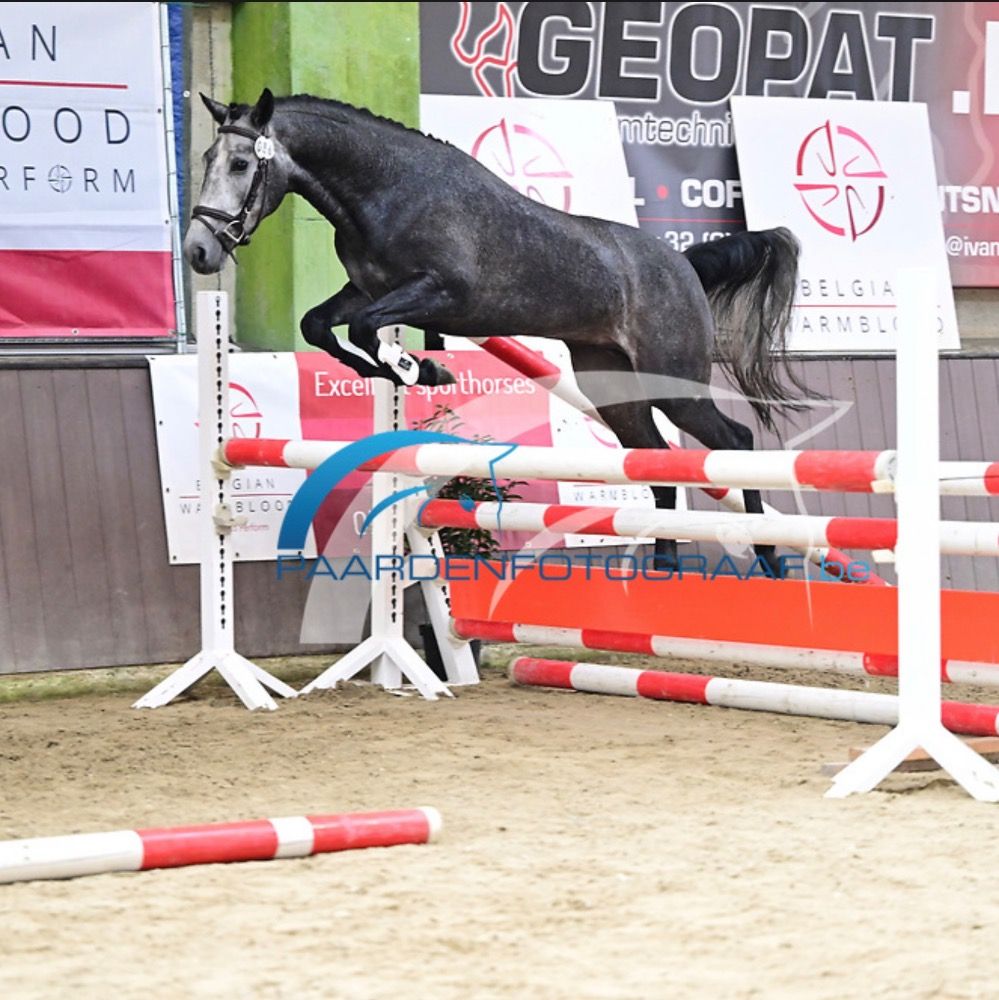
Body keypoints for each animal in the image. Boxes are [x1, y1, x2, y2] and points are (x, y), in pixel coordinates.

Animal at [184, 88, 809, 573]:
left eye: (241, 165)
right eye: (208, 157)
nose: (198, 251)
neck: (387, 189)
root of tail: (683, 263)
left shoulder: (441, 294)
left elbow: (365, 328)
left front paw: (423, 369)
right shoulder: (366, 289)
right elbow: (319, 324)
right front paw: (400, 371)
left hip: (675, 382)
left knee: (734, 442)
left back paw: (769, 557)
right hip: (611, 384)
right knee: (656, 462)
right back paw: (665, 565)